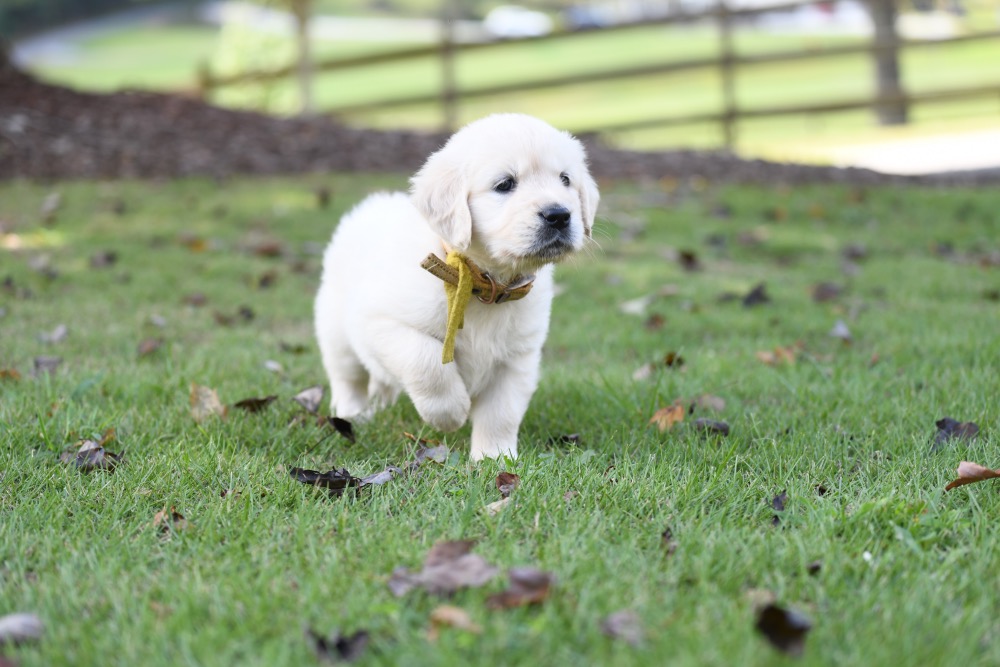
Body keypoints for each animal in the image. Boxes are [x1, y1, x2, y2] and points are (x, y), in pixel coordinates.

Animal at [312, 113, 596, 460]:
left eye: (565, 179)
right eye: (505, 184)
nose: (559, 215)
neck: (482, 282)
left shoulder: (517, 356)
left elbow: (502, 411)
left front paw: (494, 457)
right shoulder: (380, 322)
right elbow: (425, 359)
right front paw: (450, 413)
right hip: (337, 333)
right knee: (348, 378)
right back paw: (353, 414)